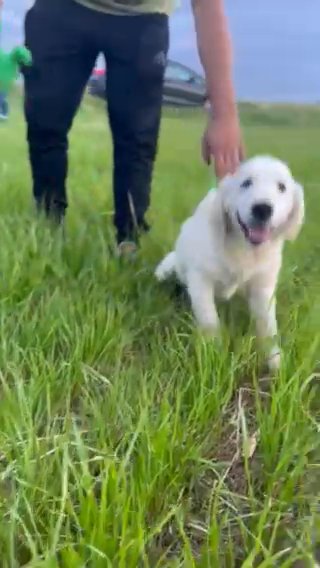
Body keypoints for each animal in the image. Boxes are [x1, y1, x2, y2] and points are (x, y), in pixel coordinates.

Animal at [155, 154, 304, 372]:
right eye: (246, 183)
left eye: (282, 187)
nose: (262, 209)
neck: (244, 249)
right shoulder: (200, 280)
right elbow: (209, 319)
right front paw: (213, 353)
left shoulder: (263, 286)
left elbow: (267, 324)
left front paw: (275, 360)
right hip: (168, 269)